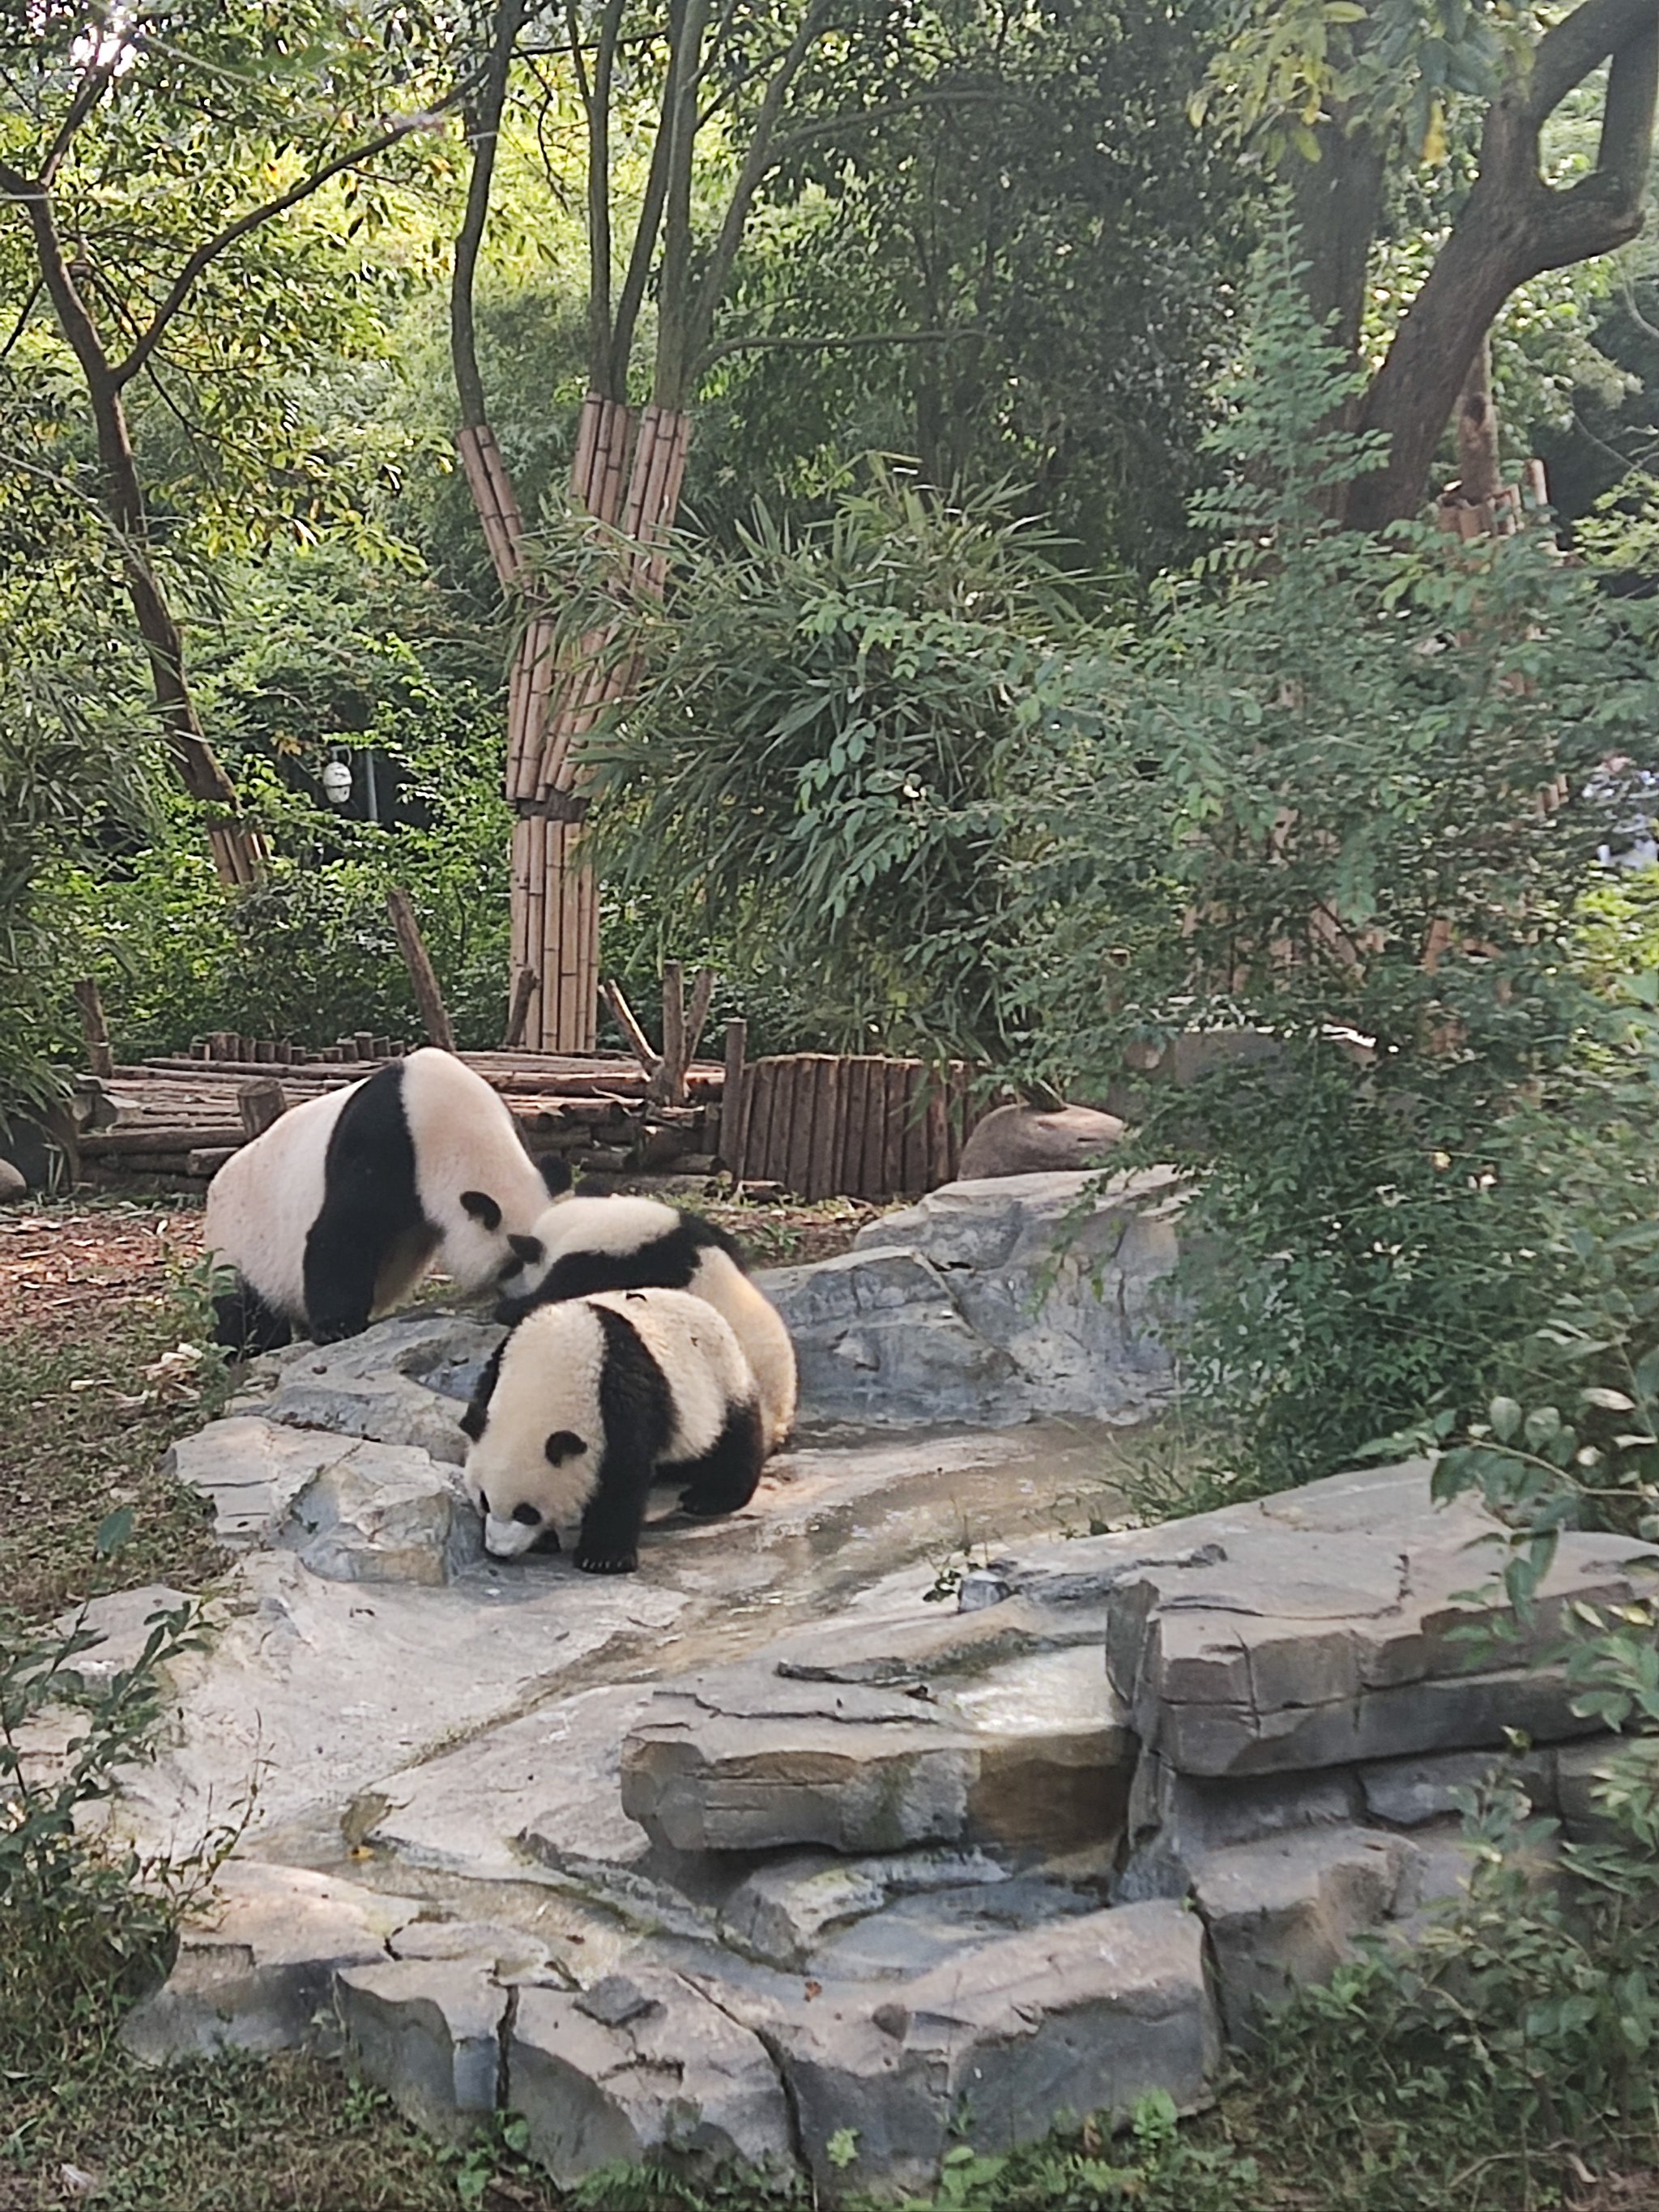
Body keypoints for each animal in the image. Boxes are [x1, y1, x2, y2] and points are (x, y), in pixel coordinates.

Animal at [205, 1048, 570, 1353]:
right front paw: (337, 1327)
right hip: (237, 1243)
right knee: (244, 1310)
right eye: (512, 1263)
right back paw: (245, 1349)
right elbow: (344, 1232)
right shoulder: (383, 1146)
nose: (532, 1300)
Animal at [458, 1282, 765, 1575]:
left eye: (526, 1512)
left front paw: (603, 1558)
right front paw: (544, 1542)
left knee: (734, 1438)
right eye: (484, 1501)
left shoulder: (619, 1398)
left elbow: (622, 1477)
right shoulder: (496, 1368)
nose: (498, 1551)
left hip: (719, 1378)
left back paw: (711, 1498)